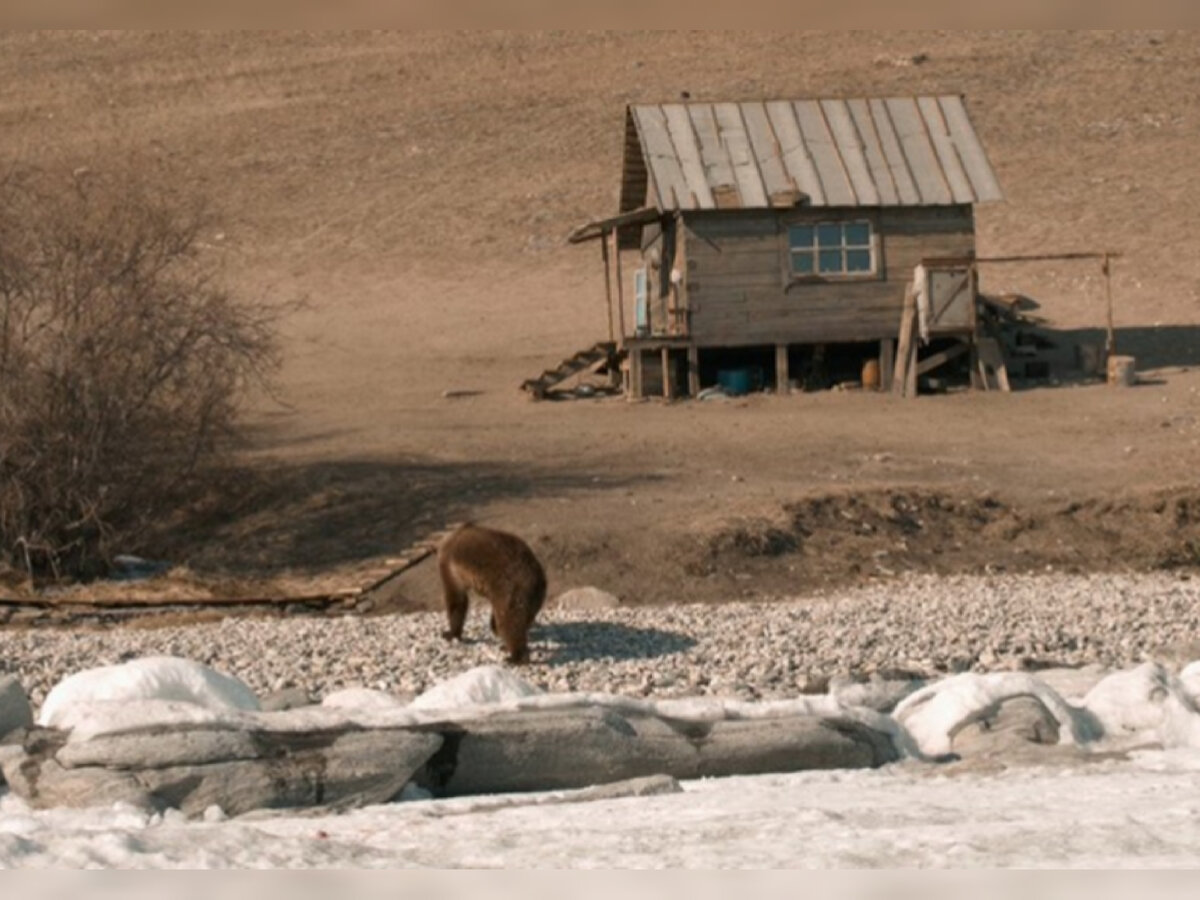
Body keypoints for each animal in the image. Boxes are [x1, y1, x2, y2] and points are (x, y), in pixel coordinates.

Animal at [436, 525, 549, 667]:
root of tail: (538, 579)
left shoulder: (449, 566)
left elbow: (457, 600)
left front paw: (450, 633)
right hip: (533, 598)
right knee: (518, 620)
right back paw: (504, 642)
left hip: (511, 588)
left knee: (509, 622)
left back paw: (515, 657)